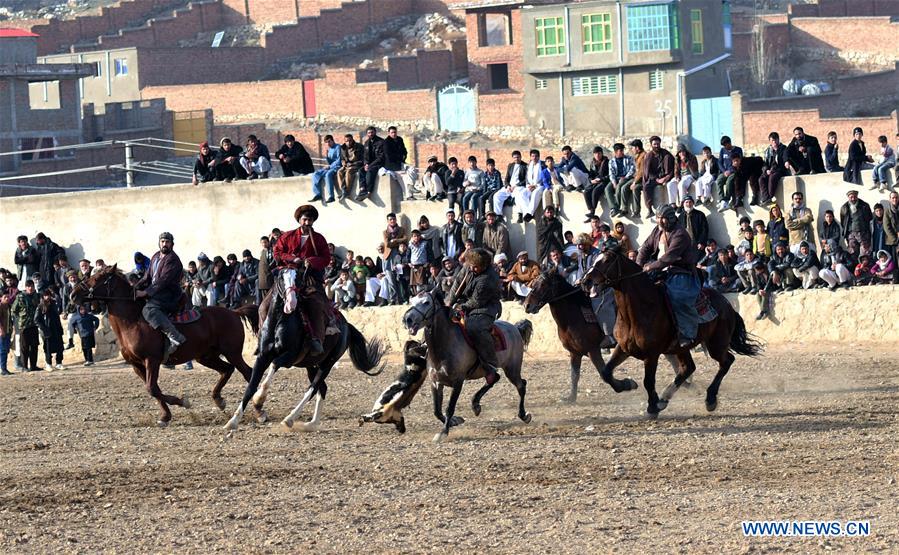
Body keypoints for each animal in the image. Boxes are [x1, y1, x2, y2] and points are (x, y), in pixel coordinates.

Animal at [72, 264, 260, 426]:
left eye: (97, 278)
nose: (73, 294)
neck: (133, 322)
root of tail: (234, 313)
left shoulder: (152, 360)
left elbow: (152, 388)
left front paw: (183, 402)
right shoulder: (136, 365)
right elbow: (154, 389)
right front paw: (166, 416)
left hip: (232, 353)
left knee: (248, 373)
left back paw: (258, 410)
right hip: (206, 357)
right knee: (227, 370)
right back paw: (219, 400)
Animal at [223, 268, 384, 434]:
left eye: (298, 279)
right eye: (281, 279)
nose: (291, 303)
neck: (279, 322)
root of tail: (347, 326)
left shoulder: (290, 356)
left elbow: (274, 364)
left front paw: (260, 398)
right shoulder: (262, 357)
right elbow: (250, 387)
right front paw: (233, 421)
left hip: (327, 364)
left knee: (313, 388)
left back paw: (290, 419)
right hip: (311, 366)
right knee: (322, 388)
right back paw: (310, 424)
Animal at [366, 288, 536, 446]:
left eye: (426, 302)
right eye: (411, 301)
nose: (407, 319)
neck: (444, 345)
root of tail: (515, 328)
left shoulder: (458, 382)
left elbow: (449, 408)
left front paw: (443, 433)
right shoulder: (436, 383)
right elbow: (437, 410)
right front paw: (455, 421)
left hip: (512, 368)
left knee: (521, 385)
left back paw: (524, 415)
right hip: (492, 370)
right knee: (494, 378)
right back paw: (476, 405)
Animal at [524, 272, 680, 406]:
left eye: (543, 284)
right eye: (533, 283)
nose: (527, 305)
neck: (575, 314)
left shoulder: (593, 350)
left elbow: (604, 373)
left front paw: (627, 384)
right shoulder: (575, 353)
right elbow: (575, 375)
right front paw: (570, 398)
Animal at [580, 250, 764, 420]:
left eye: (606, 260)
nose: (585, 281)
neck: (640, 309)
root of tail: (727, 304)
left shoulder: (652, 354)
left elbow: (648, 381)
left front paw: (652, 407)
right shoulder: (624, 348)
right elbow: (606, 372)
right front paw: (628, 384)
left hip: (716, 344)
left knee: (726, 362)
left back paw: (710, 399)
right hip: (681, 348)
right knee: (688, 368)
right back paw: (664, 398)